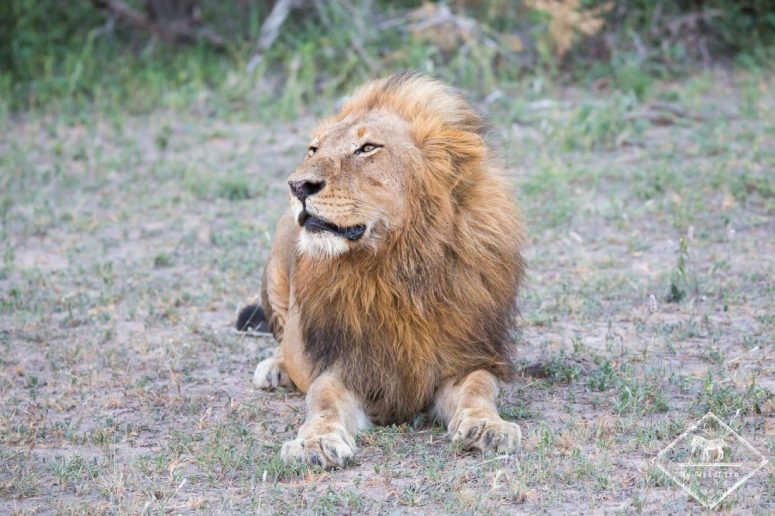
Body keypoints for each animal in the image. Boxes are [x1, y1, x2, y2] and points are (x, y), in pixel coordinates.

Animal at [237, 72, 525, 468]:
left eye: (367, 148)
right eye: (313, 150)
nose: (297, 186)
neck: (397, 269)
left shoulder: (464, 358)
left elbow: (480, 388)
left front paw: (487, 427)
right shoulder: (345, 365)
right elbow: (322, 399)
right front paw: (315, 443)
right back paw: (274, 368)